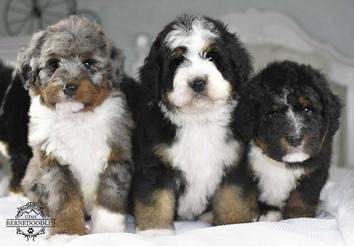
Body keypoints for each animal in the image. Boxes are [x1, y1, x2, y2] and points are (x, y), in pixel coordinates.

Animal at [18, 15, 133, 238]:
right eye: (54, 64)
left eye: (88, 63)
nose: (69, 87)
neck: (76, 118)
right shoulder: (54, 161)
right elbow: (65, 200)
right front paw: (68, 231)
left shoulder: (115, 153)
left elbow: (110, 196)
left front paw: (108, 232)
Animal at [131, 13, 256, 236]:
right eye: (177, 61)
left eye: (212, 57)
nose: (198, 82)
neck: (199, 121)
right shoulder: (156, 165)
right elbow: (155, 200)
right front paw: (156, 231)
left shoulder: (233, 162)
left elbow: (233, 198)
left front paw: (234, 225)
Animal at [234, 60, 342, 221]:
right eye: (273, 114)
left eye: (308, 110)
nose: (295, 138)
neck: (282, 164)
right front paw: (266, 214)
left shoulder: (314, 171)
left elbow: (301, 199)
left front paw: (299, 218)